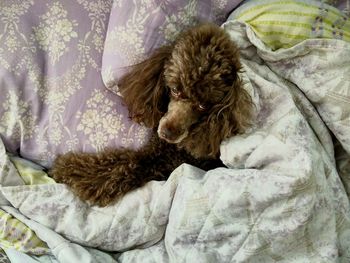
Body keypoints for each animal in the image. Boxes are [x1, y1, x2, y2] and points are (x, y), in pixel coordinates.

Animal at [50, 23, 253, 207]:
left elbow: (119, 167)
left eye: (203, 105)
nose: (168, 133)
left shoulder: (155, 161)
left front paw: (66, 169)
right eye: (175, 90)